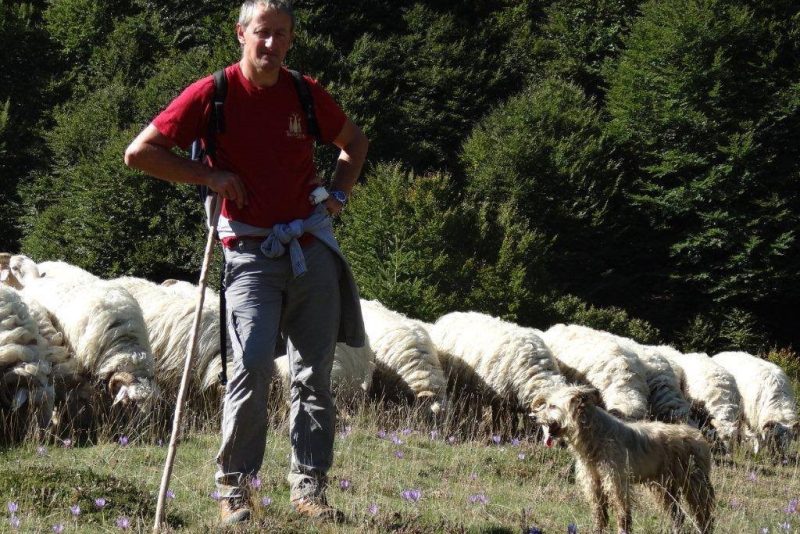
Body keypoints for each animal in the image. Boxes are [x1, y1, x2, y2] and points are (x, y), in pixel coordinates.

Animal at [428, 312, 564, 438]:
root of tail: (448, 316)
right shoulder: (499, 395)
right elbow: (498, 419)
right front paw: (498, 434)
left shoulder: (513, 399)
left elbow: (514, 420)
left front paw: (516, 434)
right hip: (454, 384)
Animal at [536, 388, 716, 532]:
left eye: (552, 406)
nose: (535, 416)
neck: (594, 434)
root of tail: (698, 436)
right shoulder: (593, 483)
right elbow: (599, 512)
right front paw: (598, 529)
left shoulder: (617, 482)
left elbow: (622, 511)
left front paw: (623, 530)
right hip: (665, 488)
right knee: (678, 515)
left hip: (694, 483)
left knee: (704, 513)